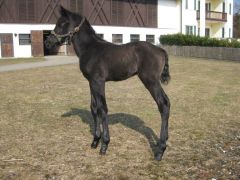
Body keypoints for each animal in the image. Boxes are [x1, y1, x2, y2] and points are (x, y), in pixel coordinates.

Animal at [45, 5, 171, 160]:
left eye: (63, 23)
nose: (48, 42)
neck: (90, 48)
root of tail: (161, 50)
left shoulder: (99, 81)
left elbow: (102, 109)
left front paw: (104, 144)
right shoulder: (91, 82)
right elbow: (94, 108)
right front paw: (95, 141)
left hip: (150, 81)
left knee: (163, 104)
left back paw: (160, 150)